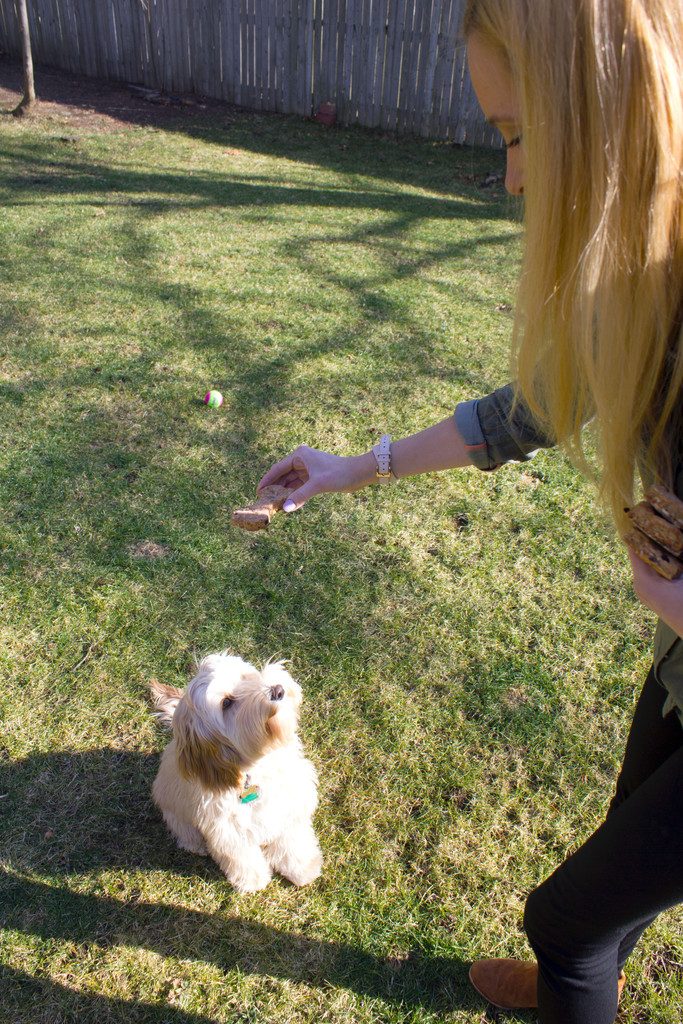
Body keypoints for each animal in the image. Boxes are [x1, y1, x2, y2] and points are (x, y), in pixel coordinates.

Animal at [149, 655, 321, 888]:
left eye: (246, 676)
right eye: (226, 703)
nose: (277, 690)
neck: (259, 769)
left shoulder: (290, 807)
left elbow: (293, 843)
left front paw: (304, 869)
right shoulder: (228, 831)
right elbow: (242, 858)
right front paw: (254, 882)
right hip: (174, 811)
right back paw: (196, 846)